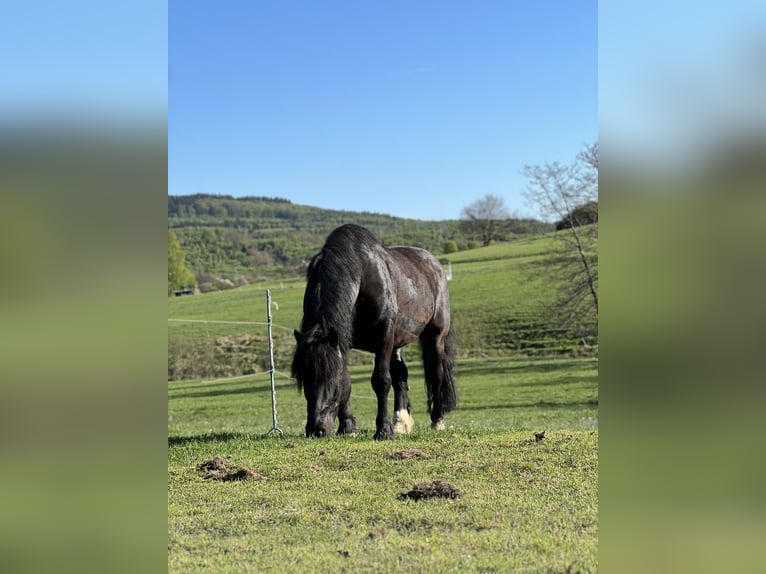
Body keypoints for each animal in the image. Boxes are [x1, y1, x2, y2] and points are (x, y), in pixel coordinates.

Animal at [291, 223, 458, 440]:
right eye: (304, 378)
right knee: (401, 376)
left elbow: (381, 380)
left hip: (435, 336)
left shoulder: (383, 337)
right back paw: (400, 422)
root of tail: (434, 264)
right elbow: (350, 380)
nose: (315, 430)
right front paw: (348, 427)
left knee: (436, 374)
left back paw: (437, 420)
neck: (361, 274)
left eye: (332, 379)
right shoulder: (344, 340)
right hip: (397, 342)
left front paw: (383, 430)